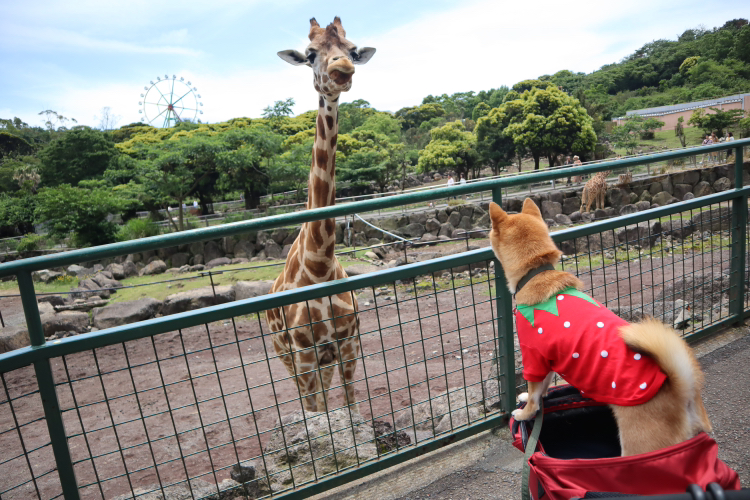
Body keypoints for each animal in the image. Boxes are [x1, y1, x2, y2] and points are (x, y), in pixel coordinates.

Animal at [268, 16, 376, 414]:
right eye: (311, 53)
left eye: (352, 50)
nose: (342, 70)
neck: (320, 264)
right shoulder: (304, 355)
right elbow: (318, 416)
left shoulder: (348, 345)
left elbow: (352, 407)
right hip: (285, 357)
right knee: (308, 404)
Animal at [490, 197, 712, 456]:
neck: (535, 273)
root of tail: (681, 393)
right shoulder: (548, 361)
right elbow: (542, 388)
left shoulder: (533, 358)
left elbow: (536, 397)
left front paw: (525, 413)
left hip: (637, 448)